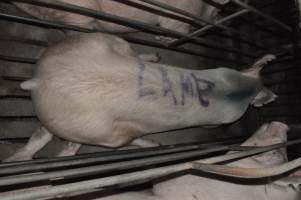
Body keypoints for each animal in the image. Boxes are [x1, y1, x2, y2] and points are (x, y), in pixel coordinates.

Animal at [2, 32, 276, 162]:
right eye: (262, 97)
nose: (272, 97)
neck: (239, 91)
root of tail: (41, 80)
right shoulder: (225, 118)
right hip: (106, 134)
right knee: (124, 140)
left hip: (93, 44)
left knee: (39, 135)